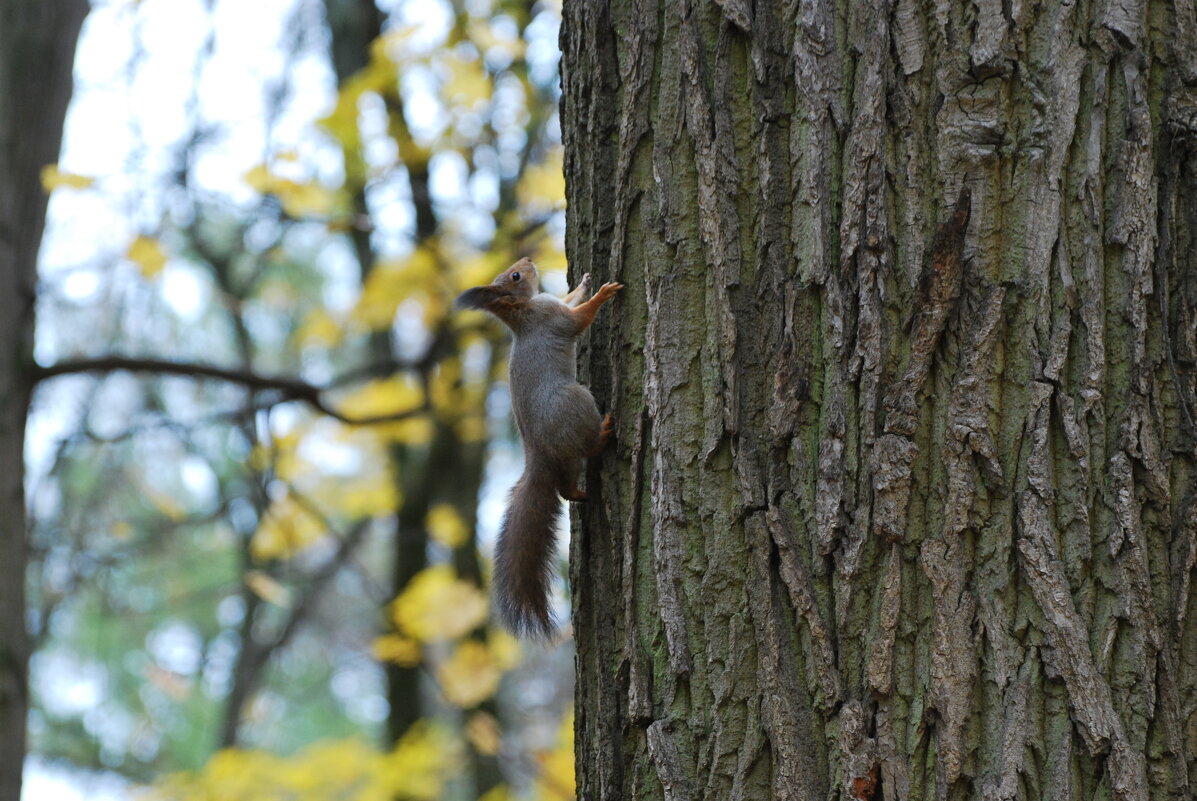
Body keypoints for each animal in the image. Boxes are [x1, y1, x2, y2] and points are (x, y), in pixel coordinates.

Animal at [457, 257, 627, 636]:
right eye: (515, 276)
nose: (528, 260)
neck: (524, 312)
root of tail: (537, 457)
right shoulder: (554, 319)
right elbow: (579, 318)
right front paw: (604, 292)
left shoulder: (553, 306)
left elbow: (570, 299)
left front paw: (585, 282)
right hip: (575, 404)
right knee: (586, 450)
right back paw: (605, 431)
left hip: (565, 459)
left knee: (565, 489)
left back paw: (582, 493)